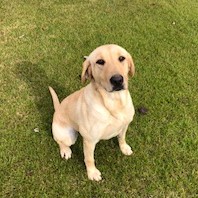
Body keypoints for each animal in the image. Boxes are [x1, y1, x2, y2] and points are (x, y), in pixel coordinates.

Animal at [49, 44, 135, 181]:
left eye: (121, 58)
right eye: (100, 61)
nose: (117, 80)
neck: (113, 103)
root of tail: (57, 109)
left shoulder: (124, 125)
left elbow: (122, 138)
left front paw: (124, 148)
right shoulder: (89, 141)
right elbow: (89, 159)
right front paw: (92, 173)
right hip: (69, 137)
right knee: (59, 141)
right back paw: (65, 151)